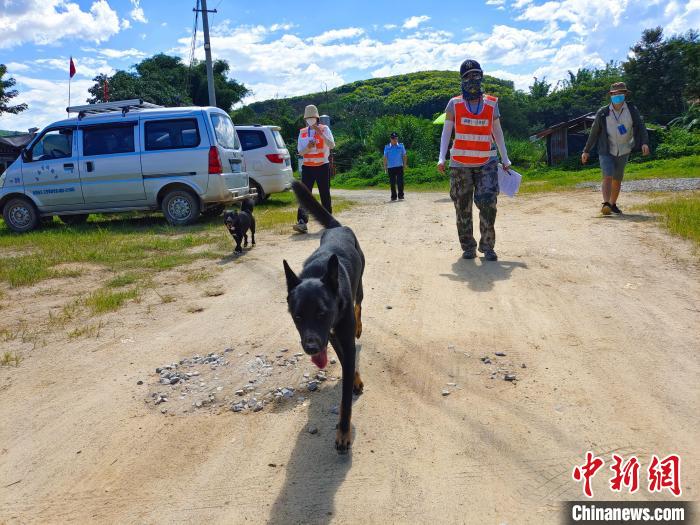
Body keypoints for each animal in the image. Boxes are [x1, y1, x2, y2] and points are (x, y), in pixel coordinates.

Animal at [284, 179, 366, 450]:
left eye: (322, 313)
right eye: (297, 316)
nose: (310, 348)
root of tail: (337, 227)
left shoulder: (340, 335)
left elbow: (345, 401)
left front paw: (343, 433)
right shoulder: (330, 337)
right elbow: (343, 361)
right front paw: (355, 380)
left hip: (360, 285)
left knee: (359, 305)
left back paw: (359, 324)